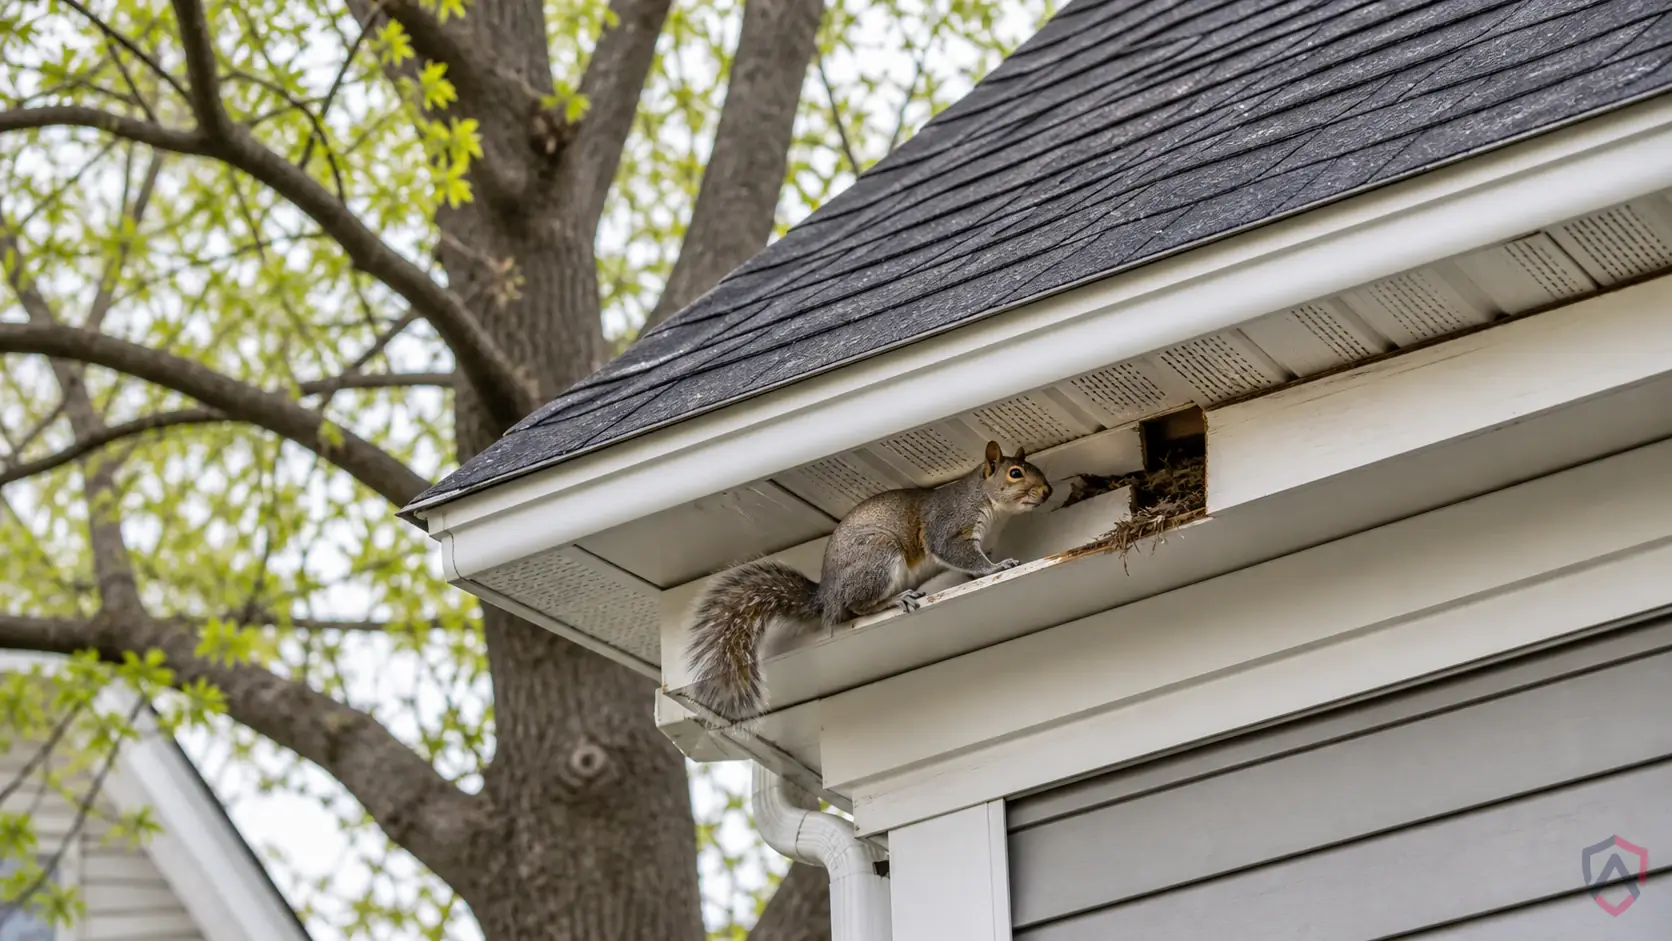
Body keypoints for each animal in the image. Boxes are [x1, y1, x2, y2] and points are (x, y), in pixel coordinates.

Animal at [684, 440, 1053, 722]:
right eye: (1015, 473)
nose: (1048, 491)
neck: (992, 508)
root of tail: (827, 596)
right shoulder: (949, 527)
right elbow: (960, 554)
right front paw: (996, 567)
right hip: (879, 559)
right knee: (857, 607)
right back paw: (895, 599)